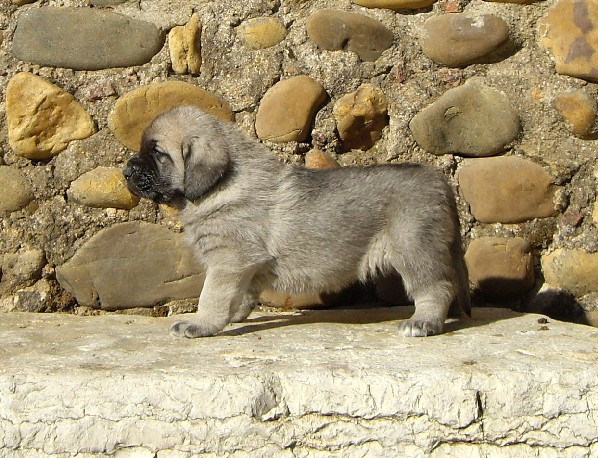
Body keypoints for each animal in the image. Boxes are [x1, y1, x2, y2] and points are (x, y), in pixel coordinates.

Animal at [124, 106, 472, 336]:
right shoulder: (244, 268)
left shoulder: (228, 262)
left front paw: (201, 323)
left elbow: (211, 295)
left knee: (437, 289)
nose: (126, 171)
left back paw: (423, 322)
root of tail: (437, 179)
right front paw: (232, 315)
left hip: (414, 250)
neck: (220, 185)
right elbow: (241, 295)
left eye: (157, 153)